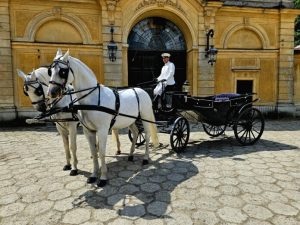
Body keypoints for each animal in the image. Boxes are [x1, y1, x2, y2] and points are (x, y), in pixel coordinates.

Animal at [47, 50, 159, 187]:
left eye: (63, 71)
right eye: (50, 71)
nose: (52, 92)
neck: (92, 98)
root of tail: (141, 90)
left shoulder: (102, 130)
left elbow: (101, 152)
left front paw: (103, 178)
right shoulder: (88, 131)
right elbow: (94, 152)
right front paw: (93, 175)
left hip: (145, 117)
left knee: (147, 135)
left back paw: (145, 158)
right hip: (130, 120)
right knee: (136, 132)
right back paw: (131, 155)